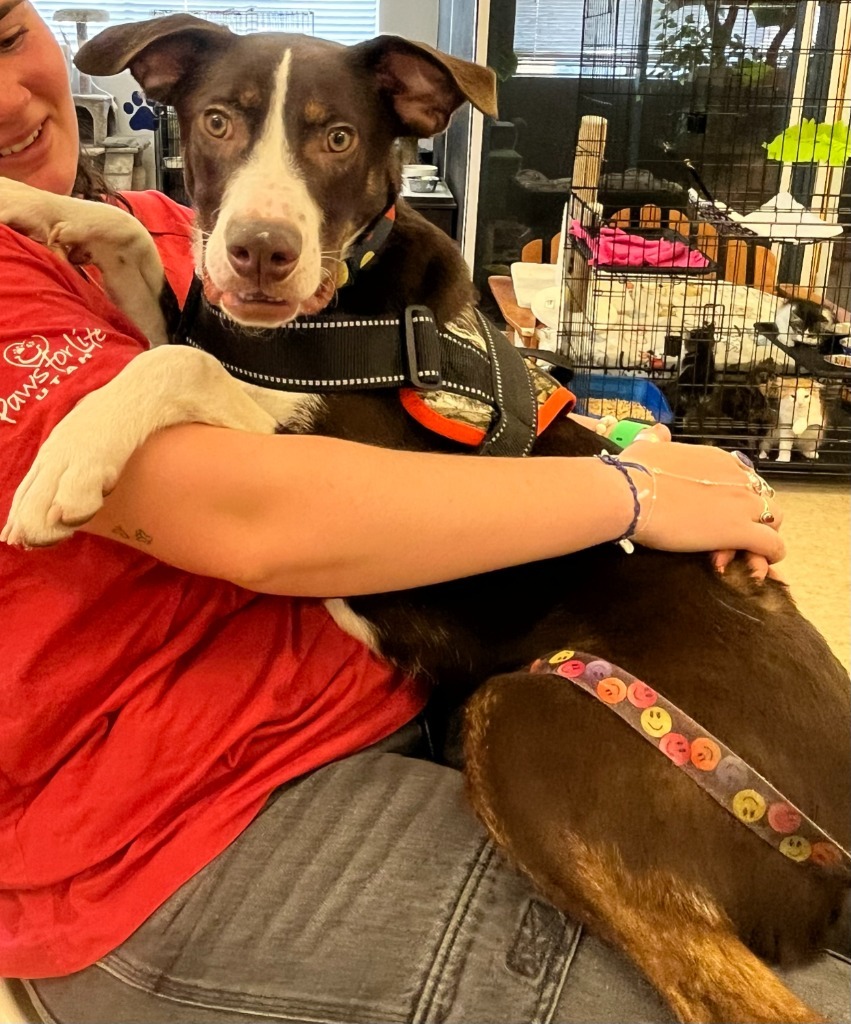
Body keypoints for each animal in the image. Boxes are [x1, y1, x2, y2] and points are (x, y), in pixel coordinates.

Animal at [1, 18, 851, 1024]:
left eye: (337, 139)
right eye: (215, 121)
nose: (258, 251)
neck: (332, 309)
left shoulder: (346, 452)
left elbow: (183, 366)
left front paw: (70, 454)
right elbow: (135, 236)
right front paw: (24, 199)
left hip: (532, 717)